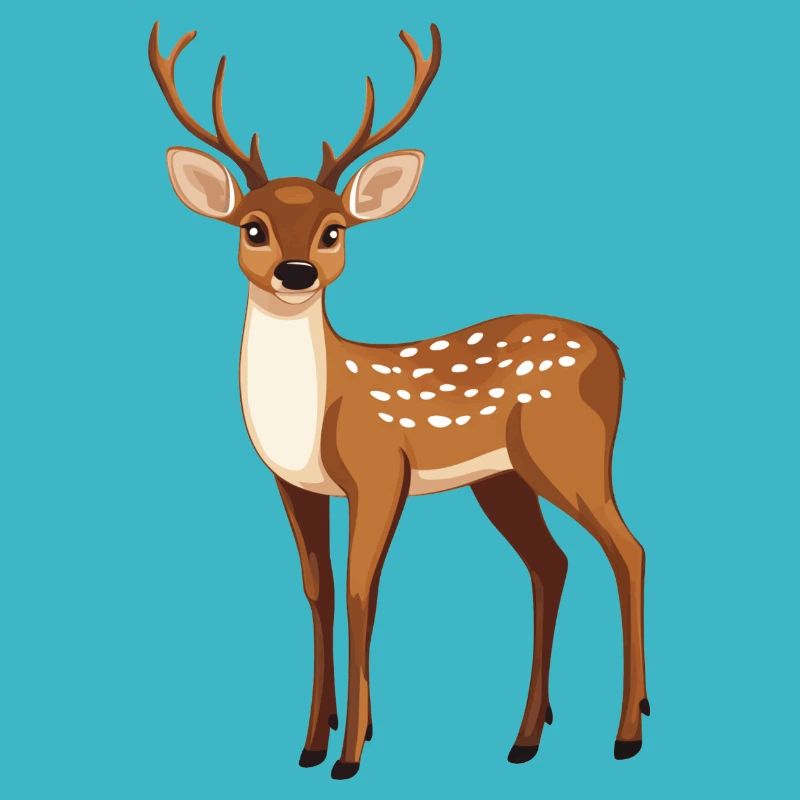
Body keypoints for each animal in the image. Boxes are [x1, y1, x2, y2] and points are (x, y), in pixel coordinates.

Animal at [148, 20, 649, 779]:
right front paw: (311, 742)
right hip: (503, 478)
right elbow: (318, 590)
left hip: (567, 452)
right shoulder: (294, 485)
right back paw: (525, 738)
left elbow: (362, 591)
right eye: (252, 227)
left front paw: (351, 753)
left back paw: (628, 732)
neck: (312, 412)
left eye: (334, 230)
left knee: (628, 550)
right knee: (551, 563)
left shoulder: (380, 469)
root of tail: (614, 352)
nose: (297, 273)